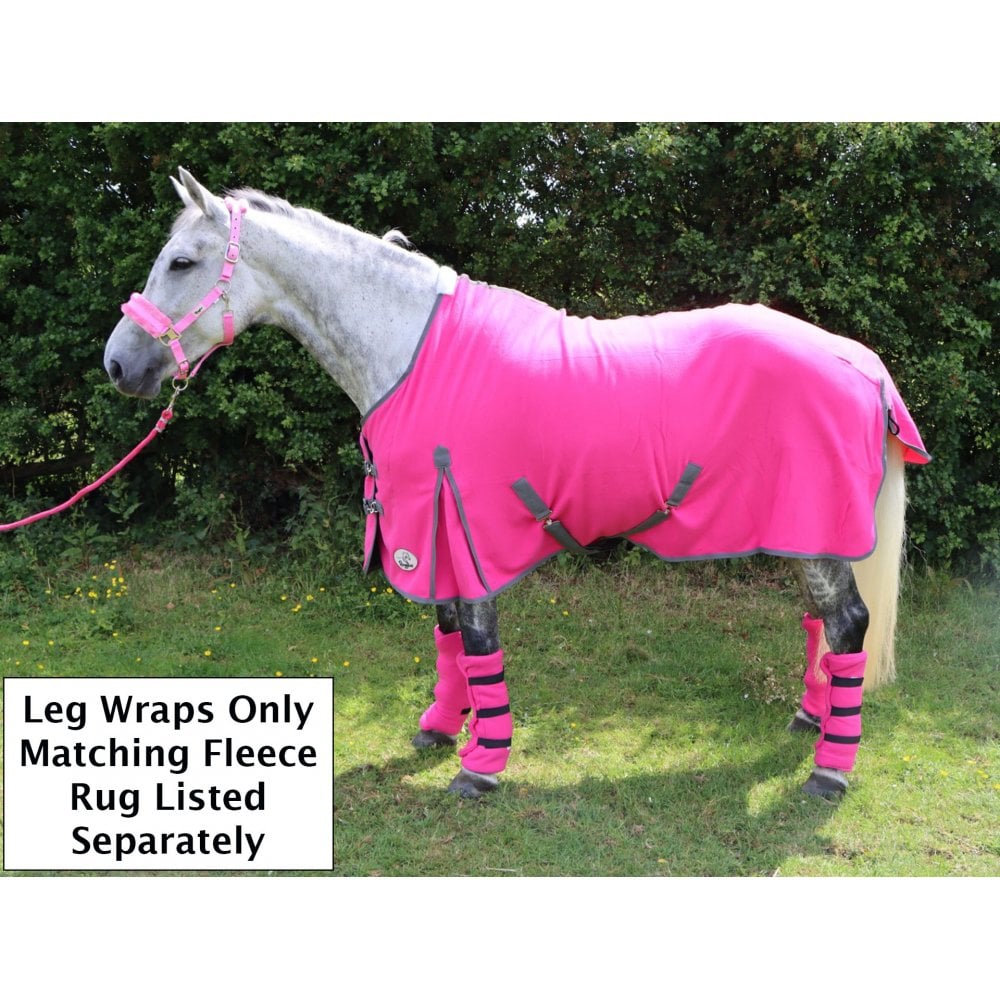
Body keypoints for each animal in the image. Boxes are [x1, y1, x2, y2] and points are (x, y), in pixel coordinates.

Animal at [104, 168, 929, 801]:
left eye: (182, 263)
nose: (118, 364)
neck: (409, 349)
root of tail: (857, 359)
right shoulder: (429, 523)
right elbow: (445, 636)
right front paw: (442, 729)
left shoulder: (462, 519)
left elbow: (475, 636)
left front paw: (482, 764)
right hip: (802, 525)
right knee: (822, 624)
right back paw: (812, 721)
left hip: (814, 525)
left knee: (848, 624)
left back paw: (829, 770)